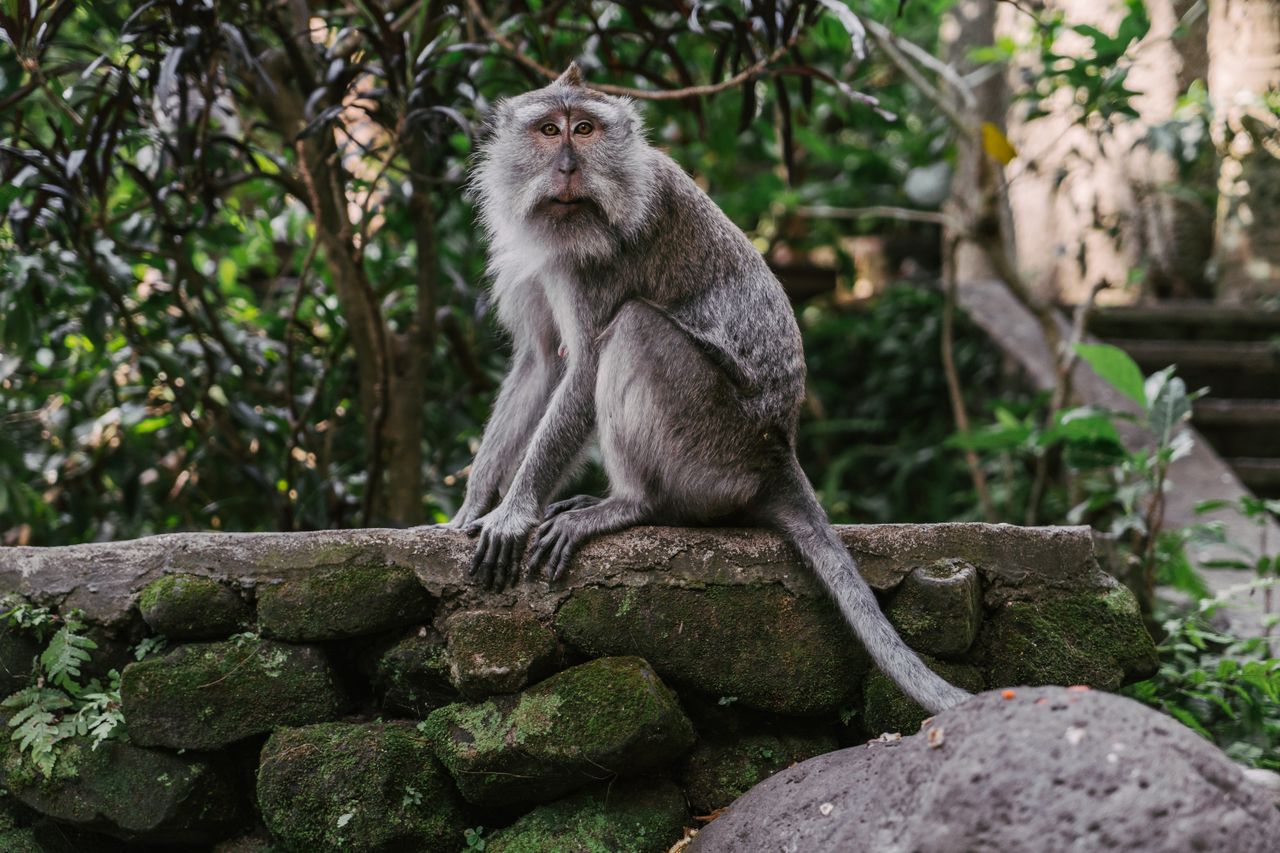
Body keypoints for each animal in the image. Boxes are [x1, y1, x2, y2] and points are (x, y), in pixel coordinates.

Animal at [446, 63, 970, 715]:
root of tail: (776, 452)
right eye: (549, 130)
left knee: (636, 327)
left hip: (709, 443)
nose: (567, 167)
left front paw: (514, 515)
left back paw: (630, 505)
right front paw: (473, 508)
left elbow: (585, 366)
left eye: (585, 129)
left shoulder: (597, 261)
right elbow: (540, 364)